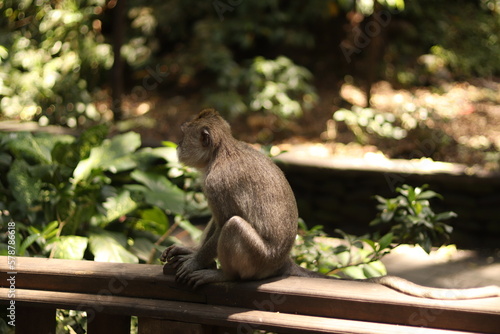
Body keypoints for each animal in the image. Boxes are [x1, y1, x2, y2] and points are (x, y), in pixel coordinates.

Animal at [161, 109, 500, 300]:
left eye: (183, 136)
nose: (176, 146)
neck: (222, 152)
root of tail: (282, 262)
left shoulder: (215, 182)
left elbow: (223, 221)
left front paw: (196, 263)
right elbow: (214, 223)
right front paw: (189, 252)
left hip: (259, 261)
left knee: (233, 225)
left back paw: (226, 276)